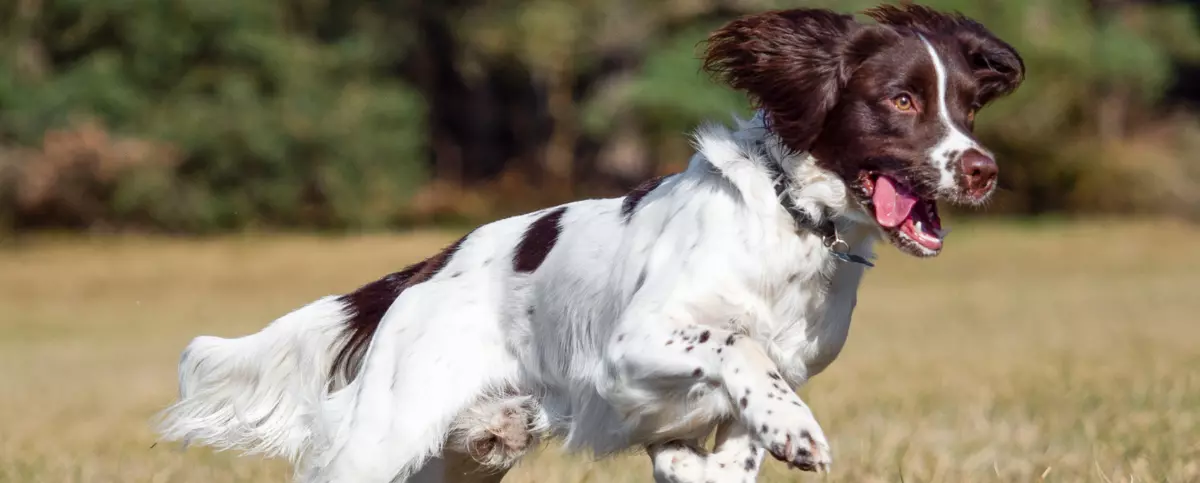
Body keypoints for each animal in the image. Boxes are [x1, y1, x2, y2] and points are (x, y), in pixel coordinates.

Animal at [157, 4, 1022, 483]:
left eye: (970, 106)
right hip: (384, 438)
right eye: (901, 100)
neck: (790, 225)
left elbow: (745, 414)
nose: (984, 170)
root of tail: (429, 267)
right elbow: (738, 345)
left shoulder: (776, 367)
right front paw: (795, 432)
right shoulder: (631, 345)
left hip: (464, 455)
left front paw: (715, 457)